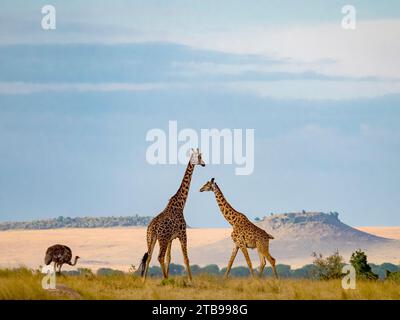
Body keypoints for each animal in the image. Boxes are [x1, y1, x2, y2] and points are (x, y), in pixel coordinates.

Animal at [138, 149, 206, 282]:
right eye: (199, 157)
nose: (204, 164)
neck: (180, 204)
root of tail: (153, 227)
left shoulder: (171, 238)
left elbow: (169, 258)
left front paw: (170, 277)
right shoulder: (182, 234)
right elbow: (186, 258)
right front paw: (191, 281)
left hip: (151, 238)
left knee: (149, 257)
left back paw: (144, 281)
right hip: (162, 239)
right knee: (159, 256)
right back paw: (164, 279)